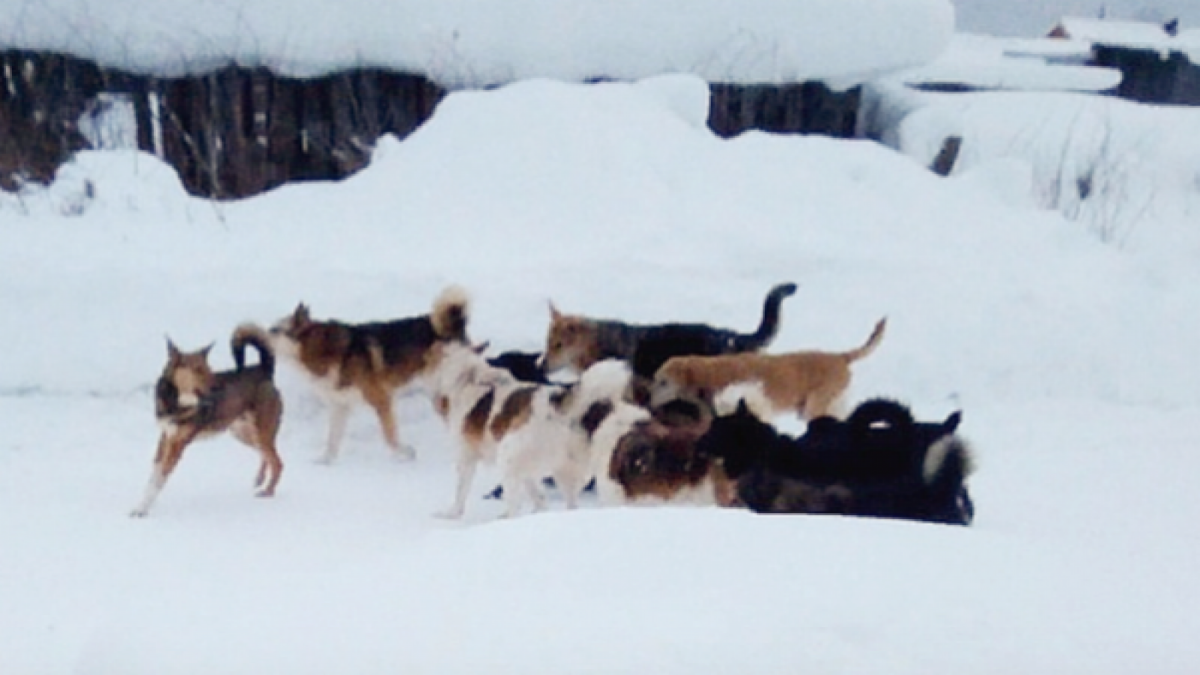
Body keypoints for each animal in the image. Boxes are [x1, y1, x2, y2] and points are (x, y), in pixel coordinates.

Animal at [130, 321, 283, 514]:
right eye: (197, 370)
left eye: (209, 369)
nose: (217, 388)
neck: (176, 403)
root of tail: (263, 370)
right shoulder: (166, 437)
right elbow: (154, 475)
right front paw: (146, 503)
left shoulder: (177, 444)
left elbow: (159, 479)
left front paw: (141, 509)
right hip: (244, 433)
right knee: (266, 455)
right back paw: (259, 479)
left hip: (259, 433)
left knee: (278, 462)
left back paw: (268, 491)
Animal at [266, 283, 468, 461]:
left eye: (274, 330)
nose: (260, 335)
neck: (324, 350)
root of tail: (454, 328)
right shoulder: (340, 406)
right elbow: (332, 441)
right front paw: (324, 462)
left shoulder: (382, 401)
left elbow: (390, 436)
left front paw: (404, 453)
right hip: (438, 397)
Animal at [652, 317, 888, 420]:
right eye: (657, 380)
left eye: (663, 381)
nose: (648, 401)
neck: (710, 373)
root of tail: (840, 357)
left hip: (814, 406)